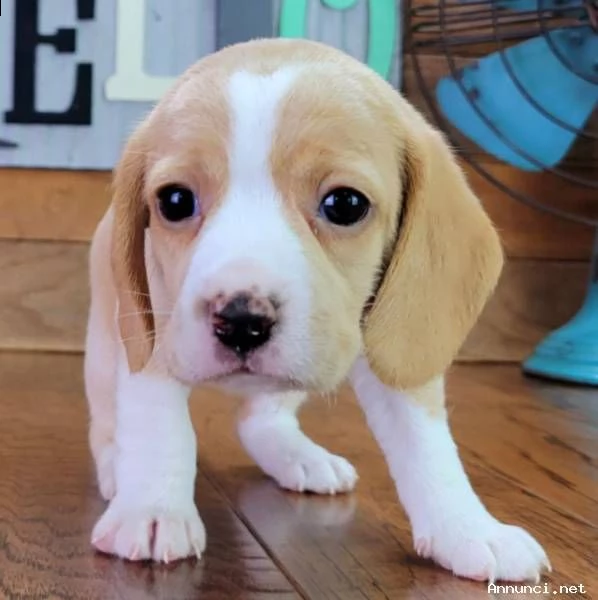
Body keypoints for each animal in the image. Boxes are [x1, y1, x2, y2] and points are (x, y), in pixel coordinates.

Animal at [85, 37, 552, 580]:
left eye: (345, 204)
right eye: (175, 201)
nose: (241, 321)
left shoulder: (401, 346)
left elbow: (427, 444)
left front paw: (468, 528)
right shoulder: (154, 334)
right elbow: (160, 426)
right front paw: (153, 509)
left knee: (262, 419)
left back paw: (296, 454)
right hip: (106, 350)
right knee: (108, 421)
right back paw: (115, 465)